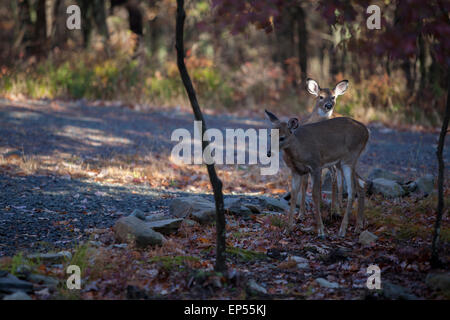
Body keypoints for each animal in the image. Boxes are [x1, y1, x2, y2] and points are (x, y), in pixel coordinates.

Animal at [266, 110, 368, 238]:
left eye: (282, 138)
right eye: (270, 135)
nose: (268, 153)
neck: (300, 150)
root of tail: (366, 131)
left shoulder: (316, 166)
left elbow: (315, 195)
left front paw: (321, 230)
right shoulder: (296, 171)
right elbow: (294, 195)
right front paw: (288, 229)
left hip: (349, 159)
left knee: (352, 189)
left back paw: (342, 230)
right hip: (343, 162)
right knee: (361, 182)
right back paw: (358, 226)